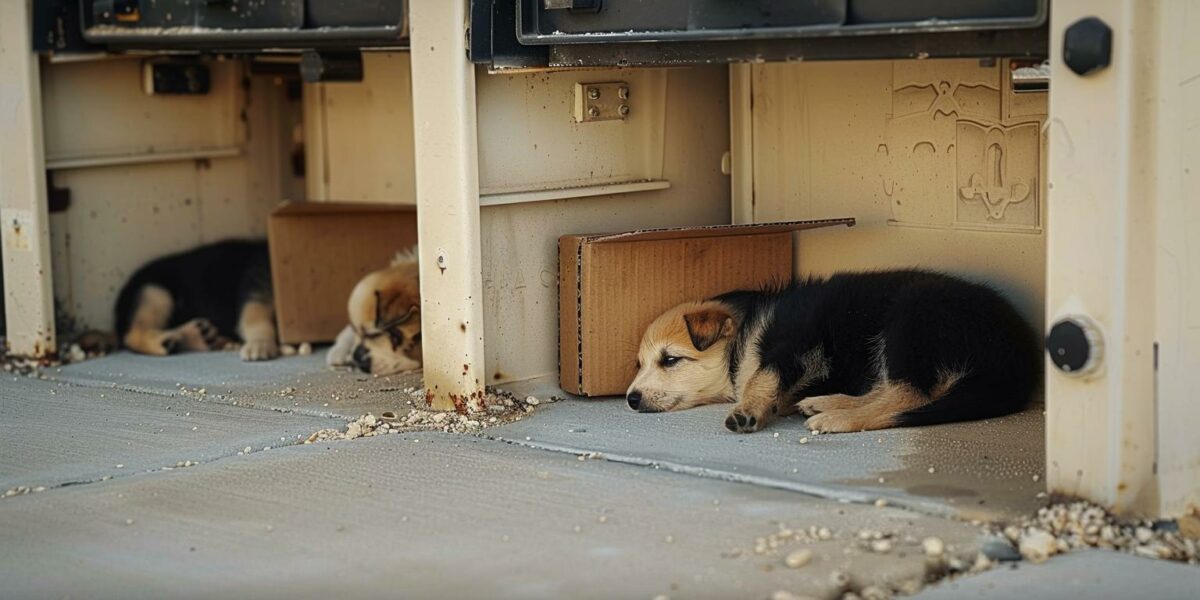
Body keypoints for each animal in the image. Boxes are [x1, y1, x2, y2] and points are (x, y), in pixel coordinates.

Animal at [628, 270, 1041, 434]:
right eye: (640, 364)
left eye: (670, 359)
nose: (630, 399)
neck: (745, 335)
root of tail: (1016, 355)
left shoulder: (794, 341)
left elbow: (762, 376)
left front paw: (748, 410)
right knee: (892, 390)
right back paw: (827, 403)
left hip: (911, 319)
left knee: (907, 395)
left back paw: (836, 419)